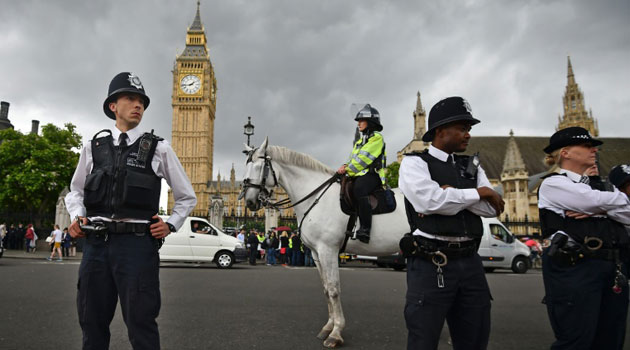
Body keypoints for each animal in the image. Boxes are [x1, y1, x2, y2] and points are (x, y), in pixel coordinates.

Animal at [242, 138, 410, 348]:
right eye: (247, 165)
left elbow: (333, 289)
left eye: (260, 167)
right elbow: (325, 289)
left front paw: (336, 333)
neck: (316, 197)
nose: (249, 201)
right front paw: (328, 327)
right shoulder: (316, 253)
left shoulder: (328, 250)